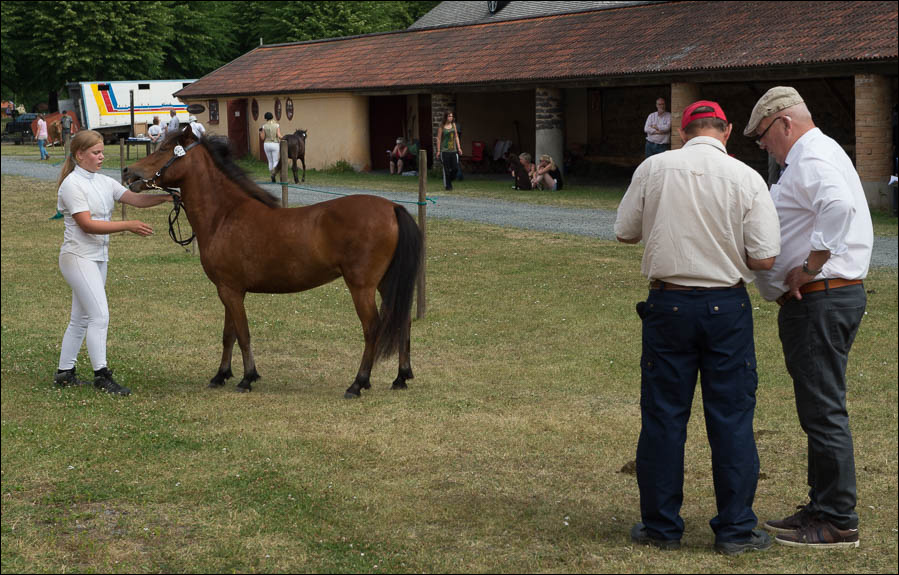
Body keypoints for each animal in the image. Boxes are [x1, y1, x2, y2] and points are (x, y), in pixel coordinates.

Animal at [120, 129, 426, 400]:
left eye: (164, 149)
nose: (127, 172)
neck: (224, 216)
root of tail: (392, 207)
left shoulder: (231, 291)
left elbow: (243, 334)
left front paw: (247, 378)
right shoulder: (229, 290)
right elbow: (229, 335)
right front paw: (221, 375)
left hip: (362, 287)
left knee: (373, 328)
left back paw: (358, 383)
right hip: (386, 283)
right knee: (403, 322)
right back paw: (401, 377)